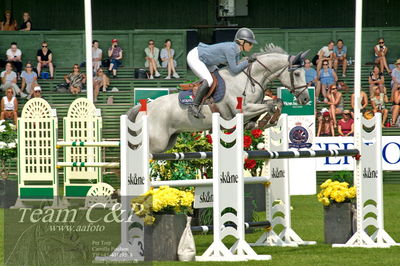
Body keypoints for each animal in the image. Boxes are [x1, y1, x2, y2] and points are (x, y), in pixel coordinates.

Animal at [128, 44, 310, 152]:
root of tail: (144, 108)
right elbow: (270, 105)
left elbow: (276, 102)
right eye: (297, 73)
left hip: (168, 141)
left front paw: (262, 122)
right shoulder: (243, 109)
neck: (250, 78)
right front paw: (266, 121)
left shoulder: (255, 105)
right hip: (157, 142)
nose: (306, 99)